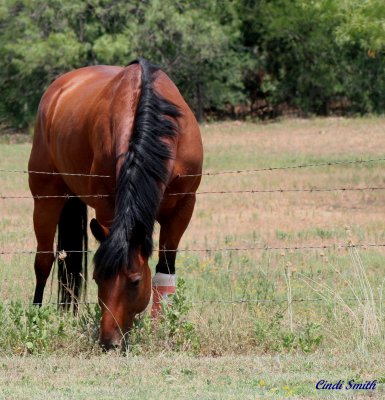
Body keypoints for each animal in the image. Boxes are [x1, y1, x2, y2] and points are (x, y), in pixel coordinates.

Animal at [28, 57, 202, 348]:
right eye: (98, 278)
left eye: (134, 282)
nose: (109, 342)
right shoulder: (106, 206)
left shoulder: (183, 208)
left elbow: (165, 271)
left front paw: (163, 327)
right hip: (45, 198)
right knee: (43, 261)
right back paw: (35, 319)